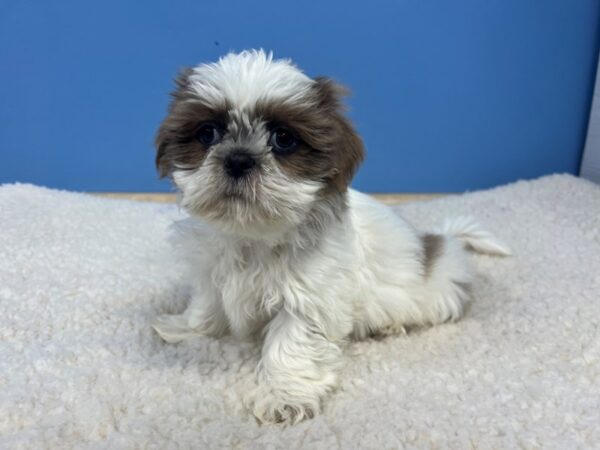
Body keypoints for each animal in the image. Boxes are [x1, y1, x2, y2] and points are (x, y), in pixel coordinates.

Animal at [151, 50, 510, 426]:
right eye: (208, 133)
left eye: (283, 139)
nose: (238, 159)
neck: (253, 234)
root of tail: (443, 241)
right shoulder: (210, 271)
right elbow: (207, 304)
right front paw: (187, 327)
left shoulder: (309, 298)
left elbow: (291, 344)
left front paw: (283, 395)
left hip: (438, 290)